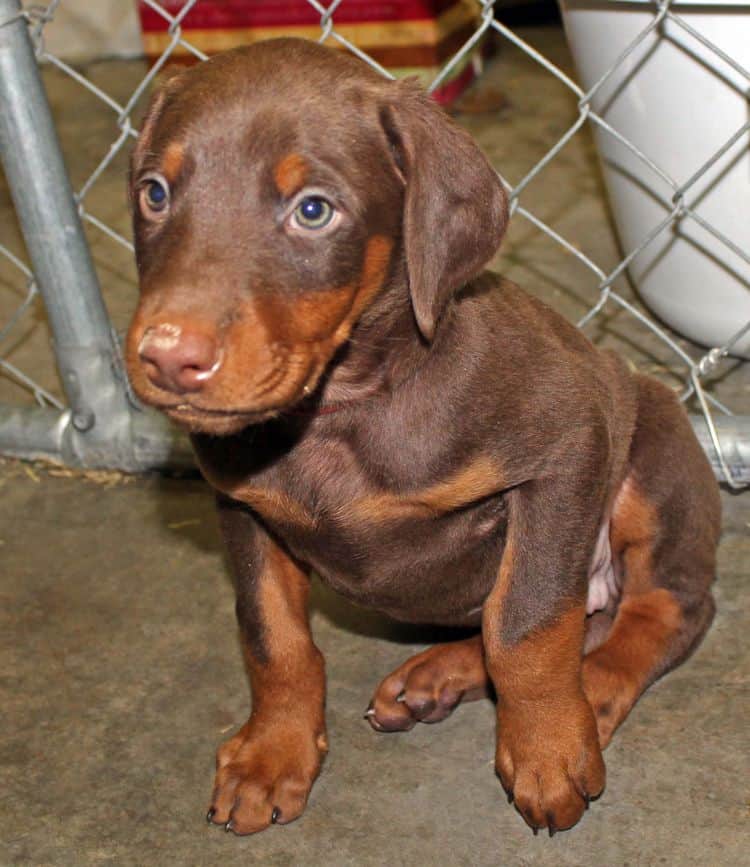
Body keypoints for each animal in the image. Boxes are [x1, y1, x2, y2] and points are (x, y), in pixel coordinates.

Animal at [123, 37, 724, 836]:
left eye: (313, 210)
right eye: (155, 193)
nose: (167, 357)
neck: (344, 409)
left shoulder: (566, 449)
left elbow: (527, 622)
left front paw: (548, 747)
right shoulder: (240, 504)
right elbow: (270, 635)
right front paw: (272, 752)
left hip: (653, 454)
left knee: (662, 607)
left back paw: (591, 692)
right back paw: (437, 672)